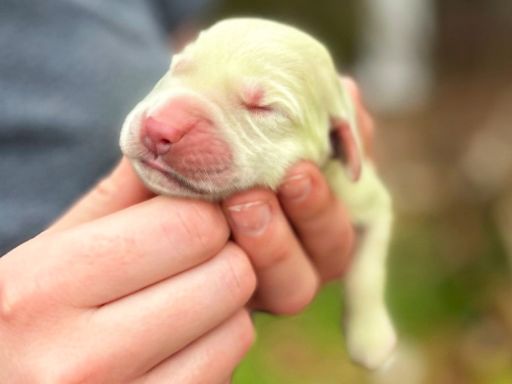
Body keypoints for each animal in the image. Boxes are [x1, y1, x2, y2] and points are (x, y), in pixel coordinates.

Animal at [120, 18, 396, 368]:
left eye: (263, 108)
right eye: (179, 66)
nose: (160, 128)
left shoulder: (364, 196)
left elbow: (368, 270)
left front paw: (372, 337)